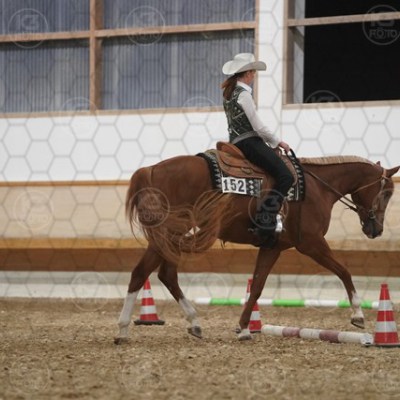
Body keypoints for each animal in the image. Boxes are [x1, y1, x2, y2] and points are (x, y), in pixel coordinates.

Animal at [114, 149, 399, 344]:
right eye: (386, 193)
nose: (376, 229)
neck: (317, 187)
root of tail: (151, 169)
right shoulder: (311, 243)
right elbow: (344, 271)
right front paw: (358, 314)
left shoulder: (273, 246)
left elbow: (258, 286)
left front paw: (243, 328)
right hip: (171, 232)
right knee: (142, 273)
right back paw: (123, 328)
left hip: (169, 236)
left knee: (165, 274)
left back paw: (193, 323)